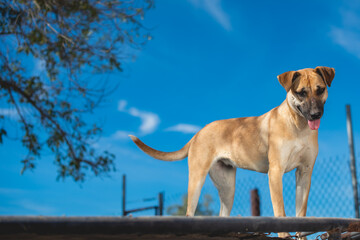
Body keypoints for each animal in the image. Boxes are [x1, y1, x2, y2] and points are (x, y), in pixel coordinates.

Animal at [129, 67, 334, 236]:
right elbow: (280, 214)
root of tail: (198, 133)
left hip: (227, 187)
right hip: (196, 180)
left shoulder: (304, 173)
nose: (316, 114)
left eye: (320, 89)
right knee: (190, 213)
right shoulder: (275, 172)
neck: (298, 126)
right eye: (301, 93)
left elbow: (301, 216)